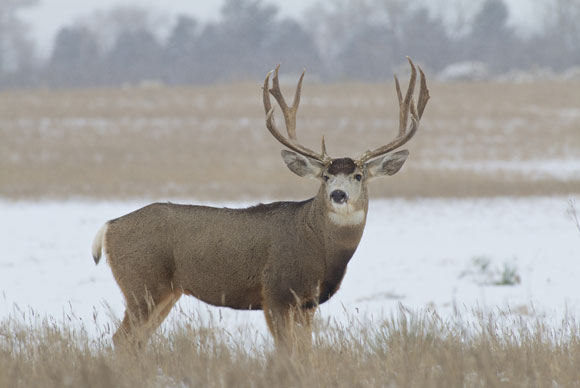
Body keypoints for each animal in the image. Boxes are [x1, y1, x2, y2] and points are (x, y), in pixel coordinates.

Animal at [93, 58, 428, 352]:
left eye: (358, 175)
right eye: (326, 176)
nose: (338, 195)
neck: (318, 247)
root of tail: (109, 227)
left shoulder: (307, 304)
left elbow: (305, 351)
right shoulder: (275, 294)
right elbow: (286, 352)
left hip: (165, 293)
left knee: (136, 341)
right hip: (142, 284)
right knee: (122, 339)